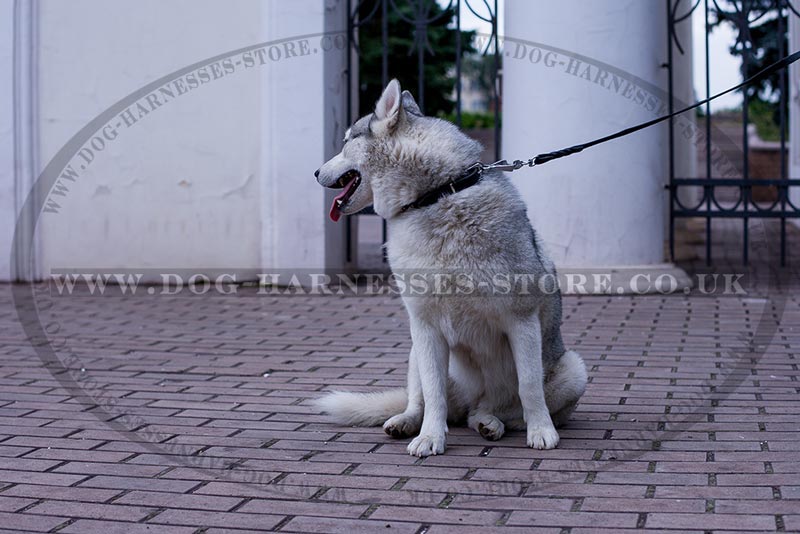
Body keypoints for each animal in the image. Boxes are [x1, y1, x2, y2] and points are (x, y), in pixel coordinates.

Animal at [314, 80, 588, 460]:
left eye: (344, 142)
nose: (314, 172)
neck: (438, 195)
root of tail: (471, 402)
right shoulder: (425, 327)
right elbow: (433, 395)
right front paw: (430, 438)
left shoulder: (521, 320)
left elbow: (530, 387)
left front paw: (542, 432)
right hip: (414, 352)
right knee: (425, 401)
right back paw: (407, 421)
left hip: (574, 370)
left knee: (496, 411)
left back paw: (492, 423)